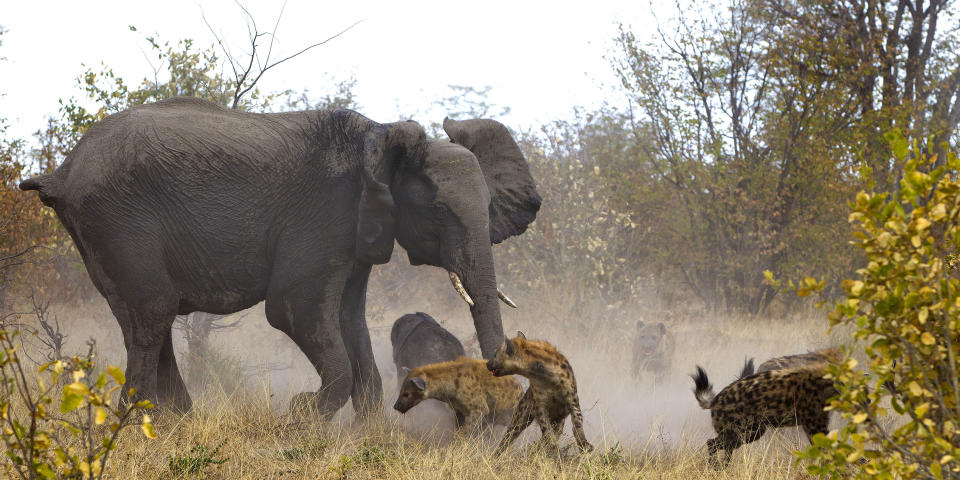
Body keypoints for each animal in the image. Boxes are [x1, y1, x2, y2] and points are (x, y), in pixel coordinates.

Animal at [18, 97, 540, 416]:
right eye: (437, 211)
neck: (381, 135)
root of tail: (60, 172)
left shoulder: (356, 233)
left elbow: (350, 321)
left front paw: (368, 438)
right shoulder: (324, 216)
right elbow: (294, 310)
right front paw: (300, 417)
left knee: (147, 316)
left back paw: (176, 421)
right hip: (117, 222)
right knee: (151, 314)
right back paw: (139, 424)